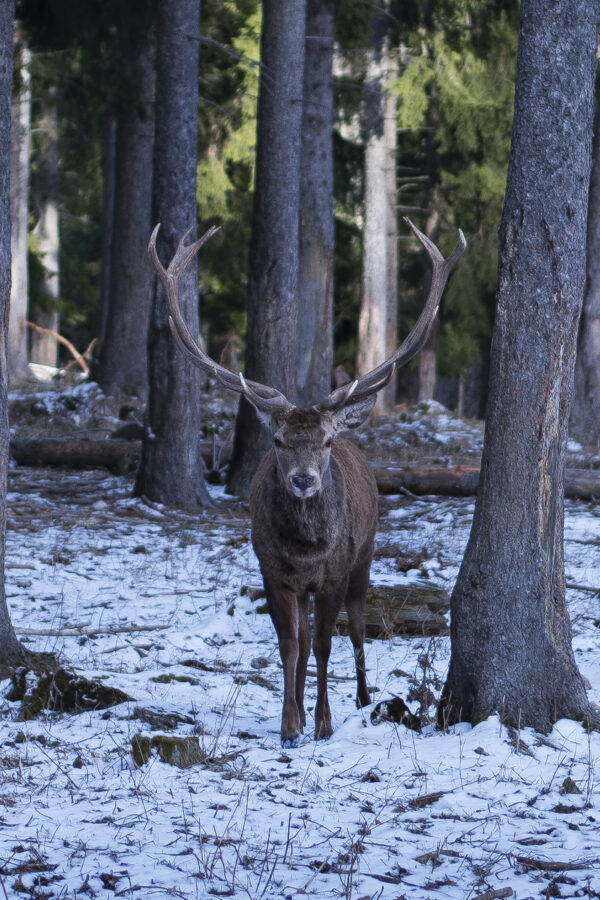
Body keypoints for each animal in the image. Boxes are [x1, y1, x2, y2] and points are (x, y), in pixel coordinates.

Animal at [148, 218, 466, 744]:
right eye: (277, 440)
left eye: (326, 441)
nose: (302, 481)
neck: (305, 550)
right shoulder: (273, 571)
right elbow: (289, 645)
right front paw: (289, 723)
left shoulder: (334, 572)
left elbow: (323, 643)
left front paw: (324, 722)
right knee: (301, 636)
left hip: (366, 553)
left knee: (355, 628)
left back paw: (362, 697)